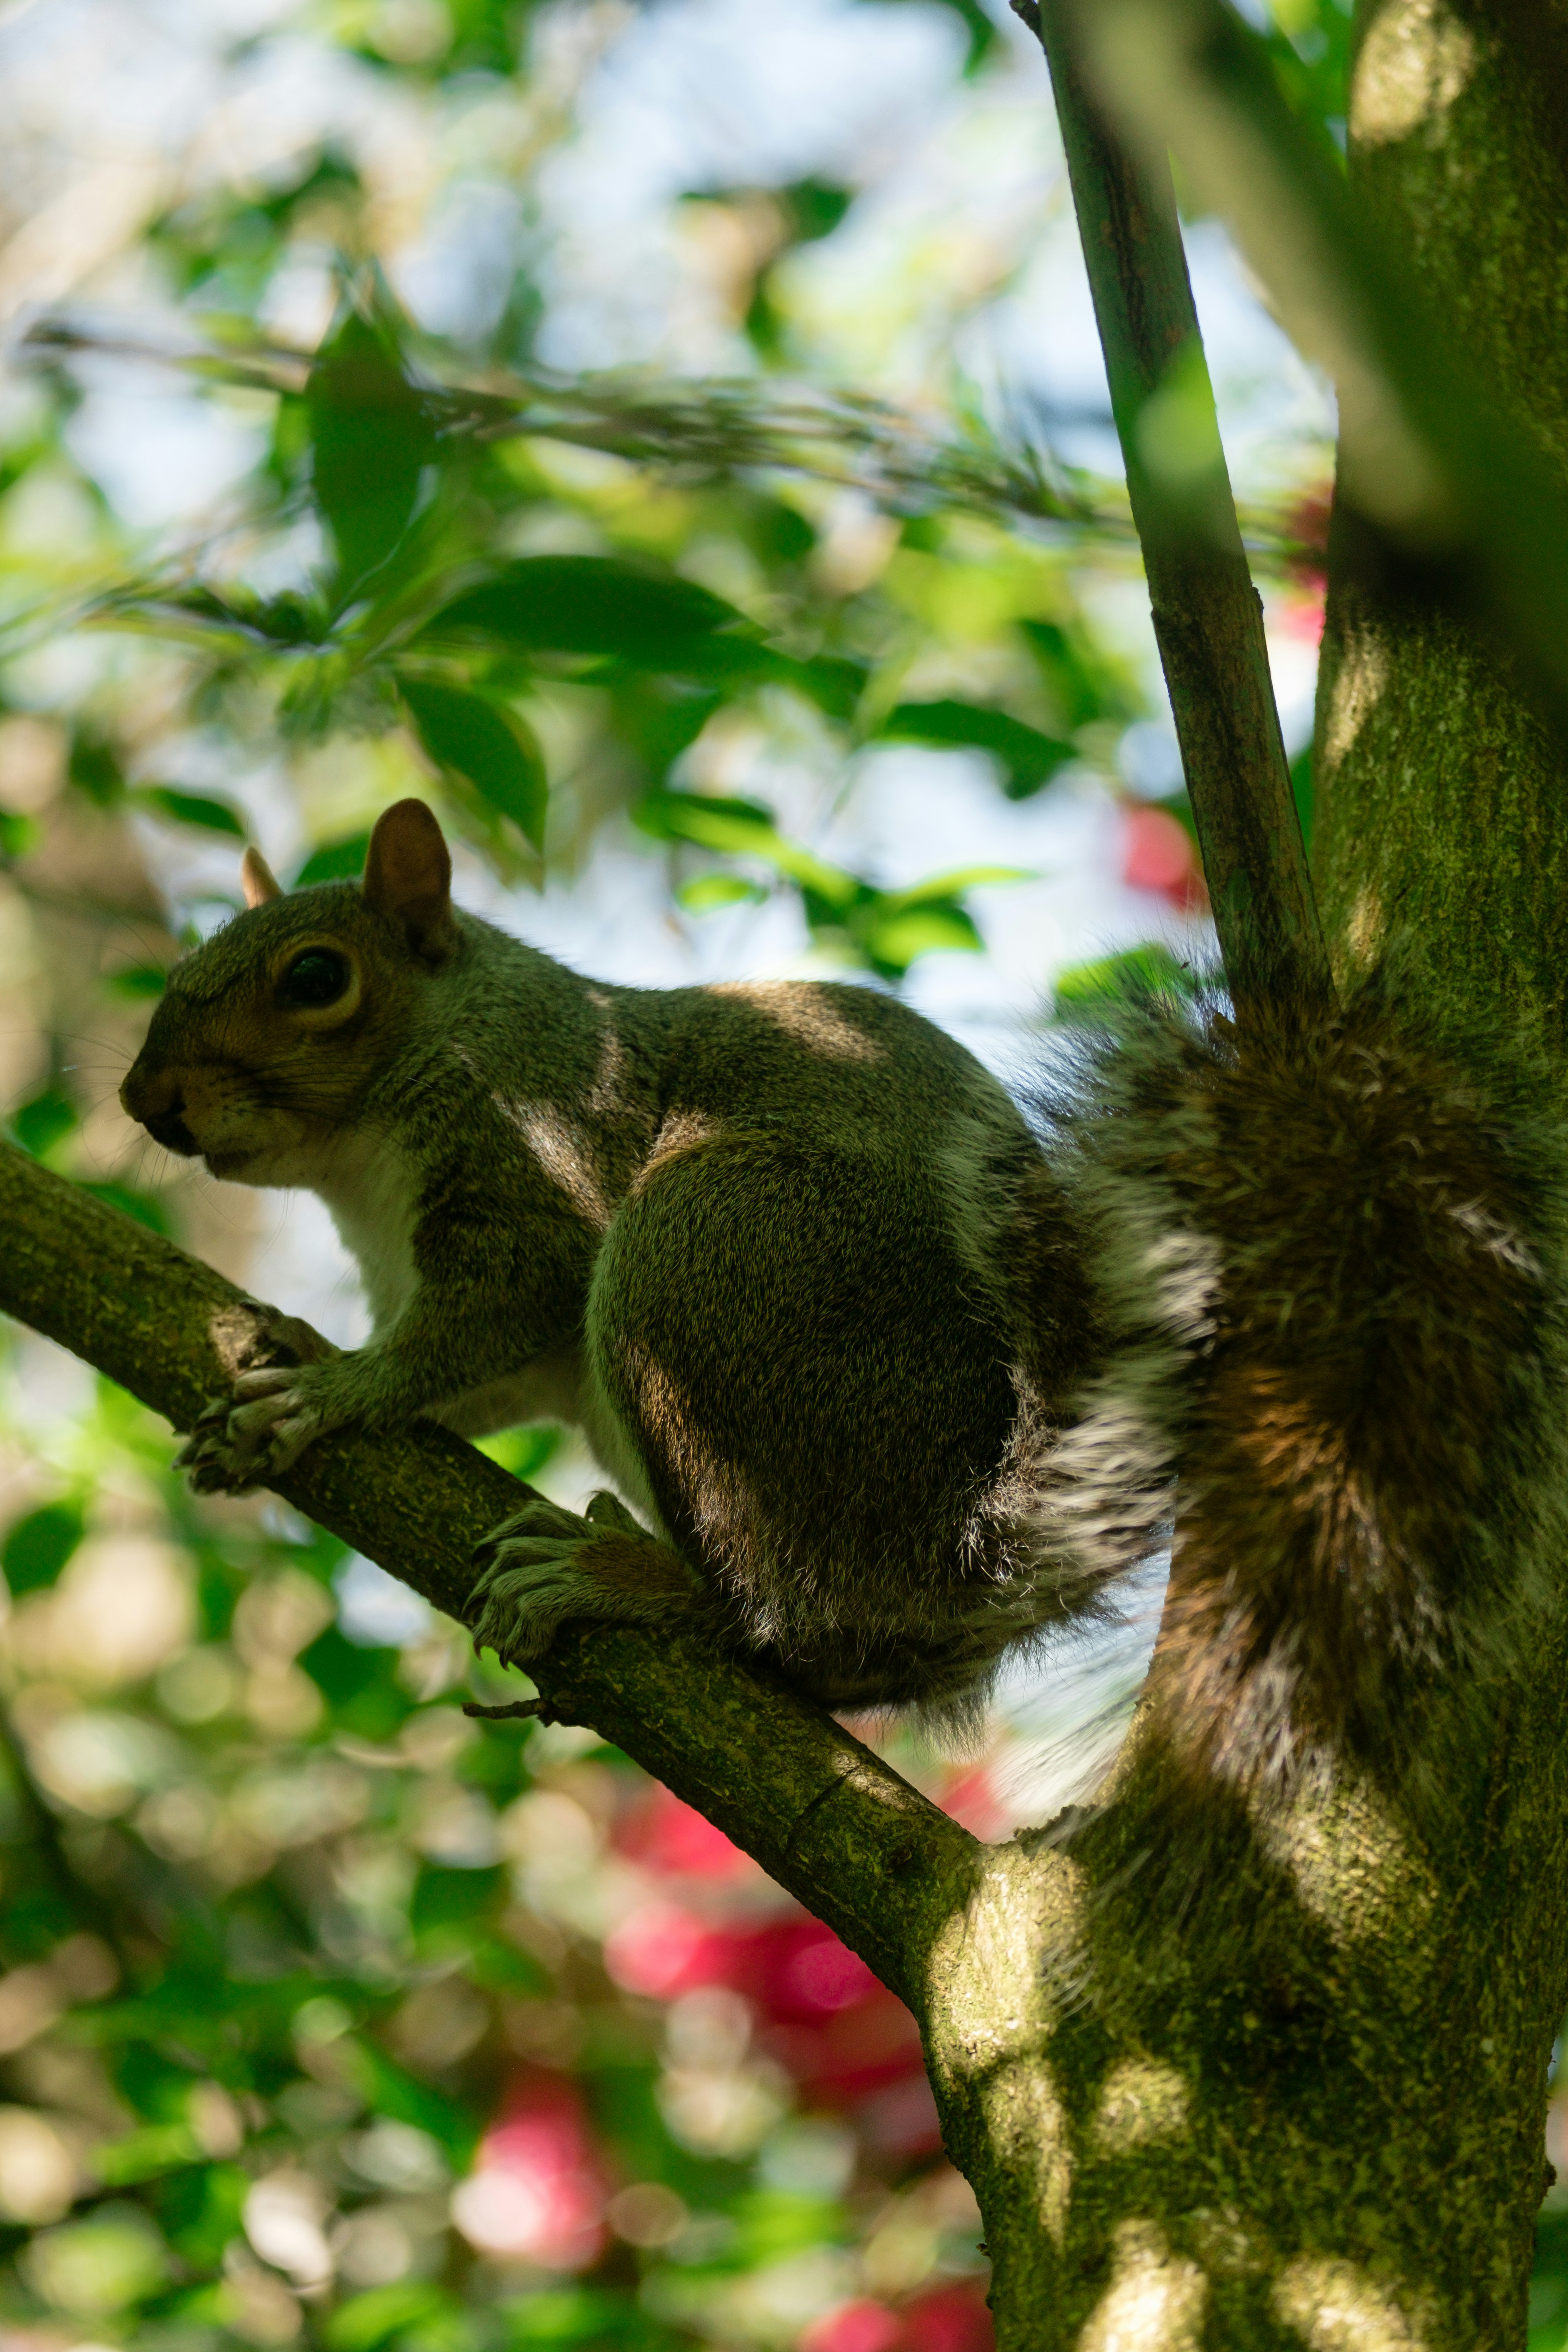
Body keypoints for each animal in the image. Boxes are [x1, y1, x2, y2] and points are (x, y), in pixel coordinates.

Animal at [116, 795, 1568, 1778]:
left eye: (316, 978)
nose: (144, 1100)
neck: (360, 1156)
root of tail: (968, 1561)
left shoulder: (538, 1156)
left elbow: (480, 1321)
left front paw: (335, 1394)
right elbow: (482, 1387)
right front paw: (277, 1360)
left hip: (715, 1249)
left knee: (789, 1632)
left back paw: (635, 1581)